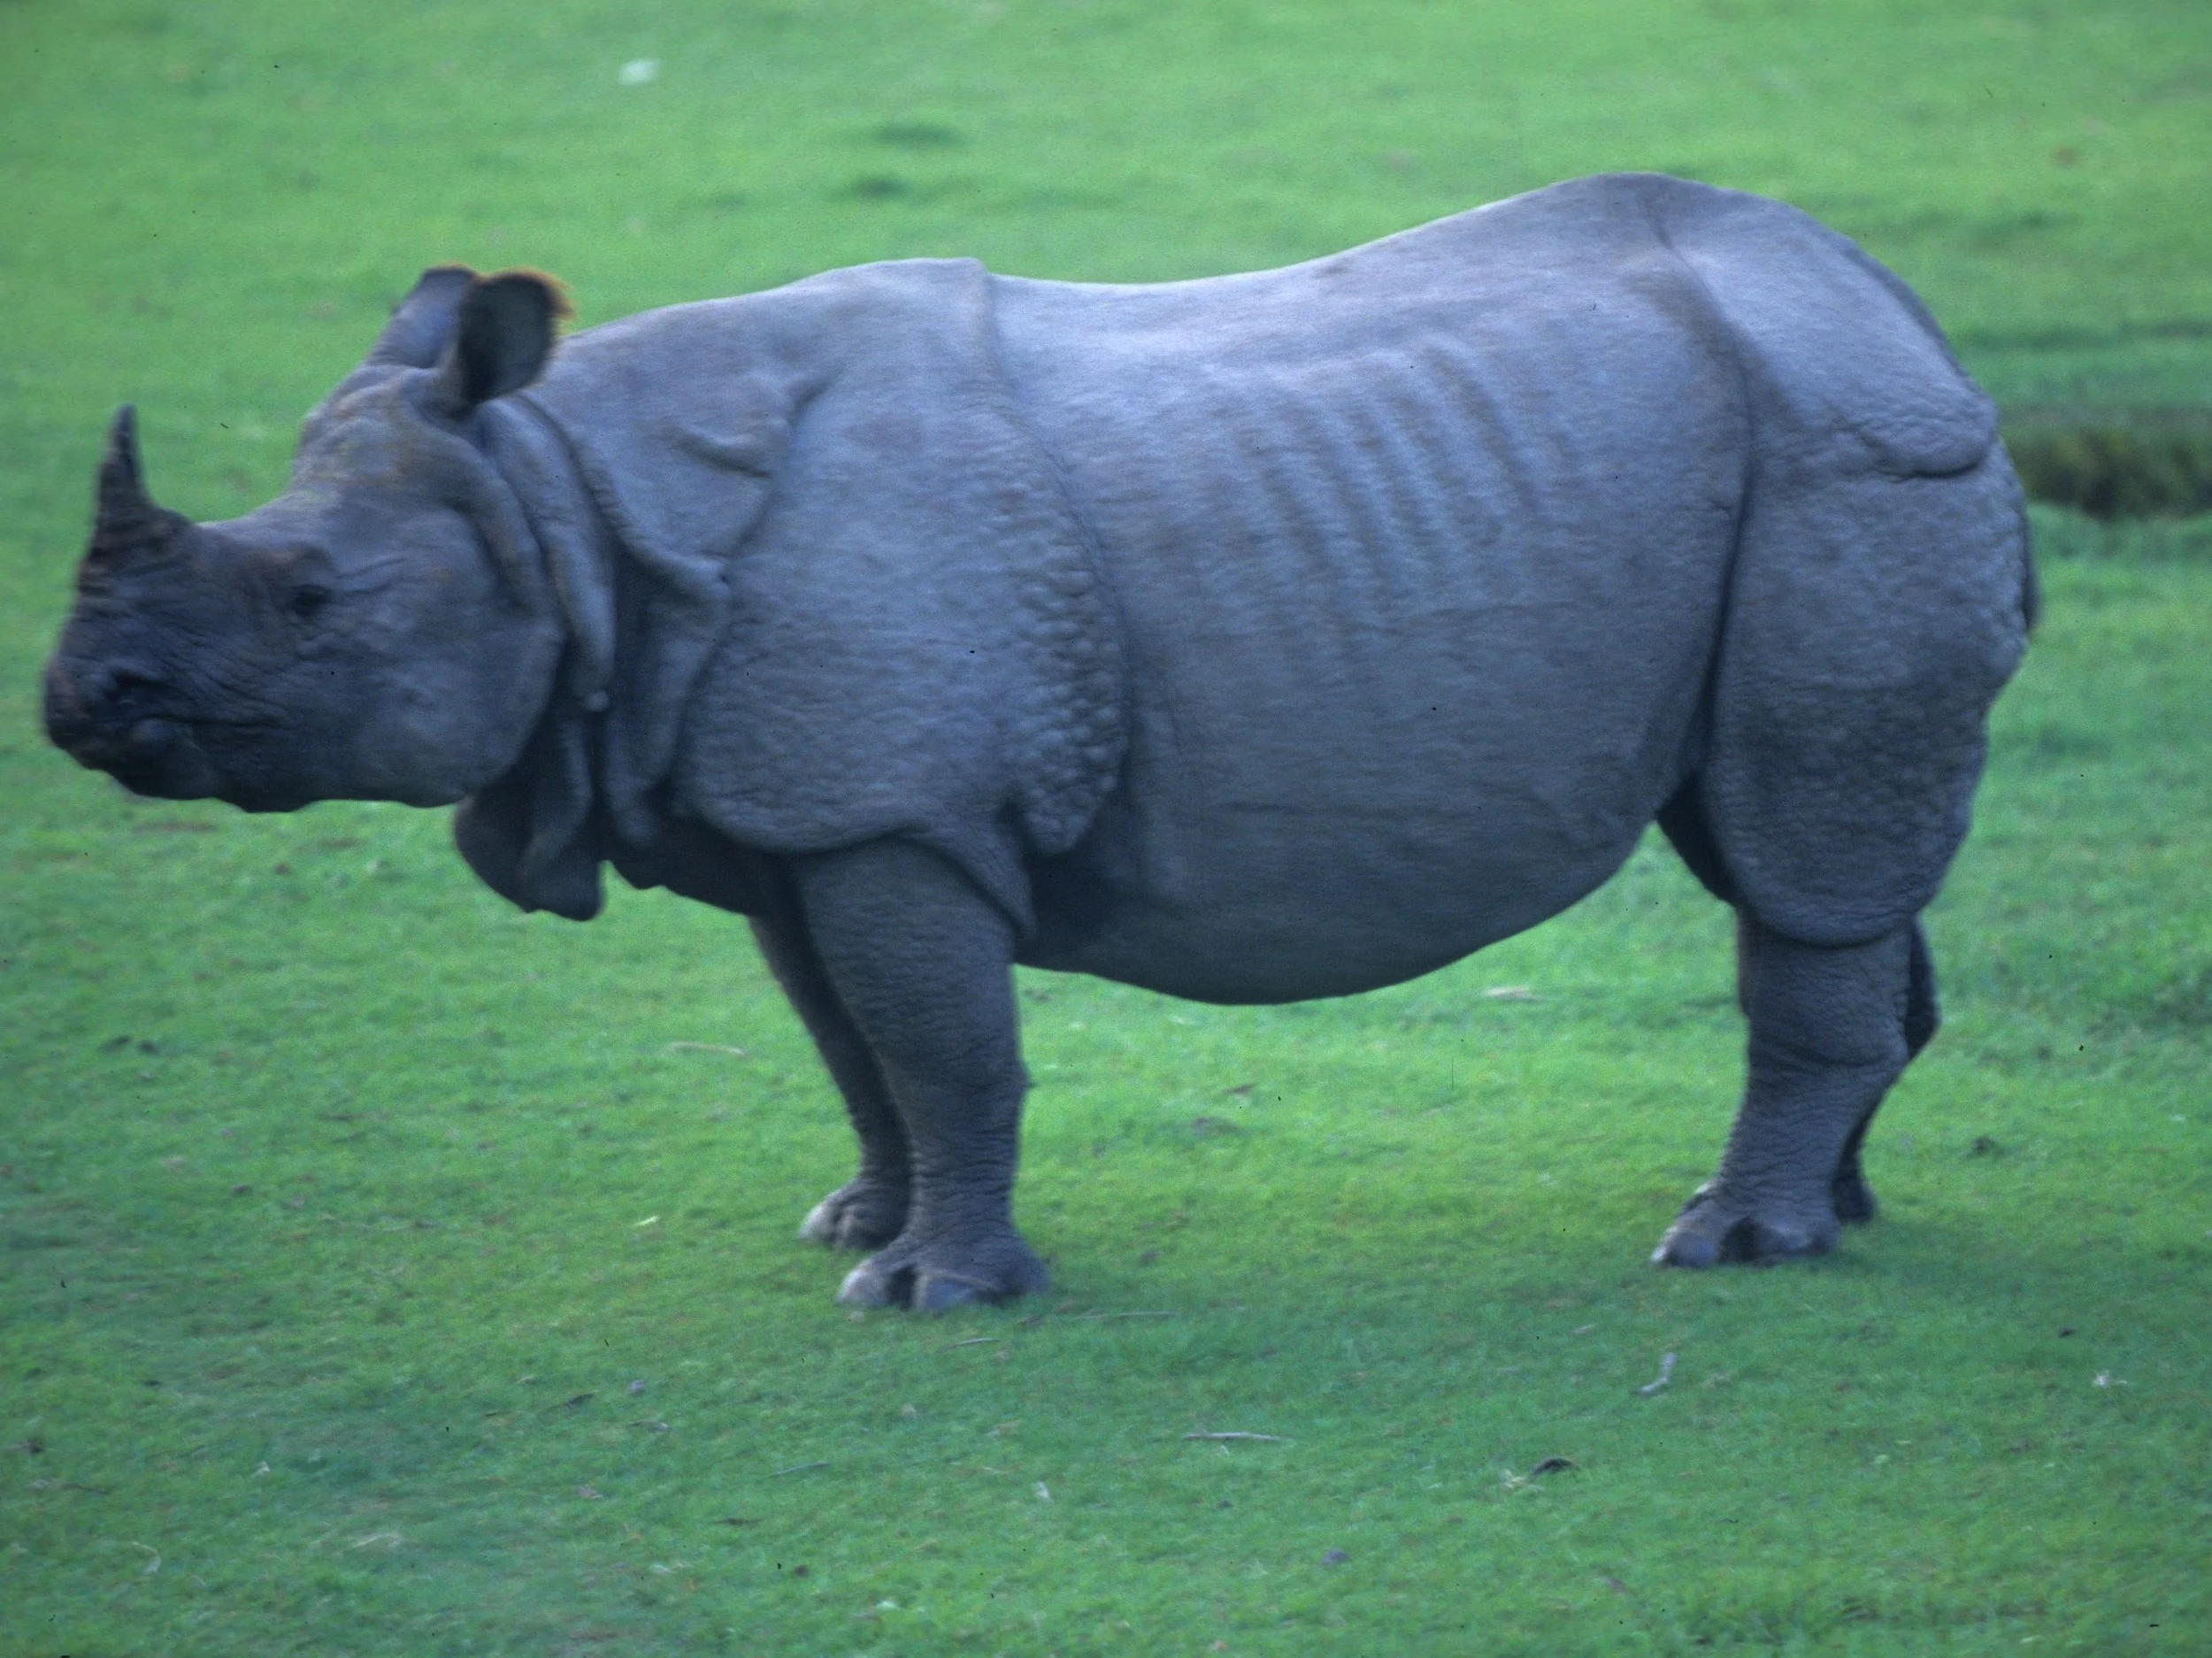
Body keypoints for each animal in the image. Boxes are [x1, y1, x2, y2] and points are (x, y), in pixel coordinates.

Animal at [45, 173, 2034, 1311]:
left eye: (306, 598)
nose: (82, 704)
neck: (566, 507)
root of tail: (1899, 307)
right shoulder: (798, 809)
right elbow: (851, 1044)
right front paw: (855, 1224)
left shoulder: (887, 805)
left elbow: (944, 1043)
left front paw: (939, 1293)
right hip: (1811, 460)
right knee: (1797, 848)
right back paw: (1833, 1212)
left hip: (1852, 461)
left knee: (1804, 845)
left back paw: (1734, 1245)